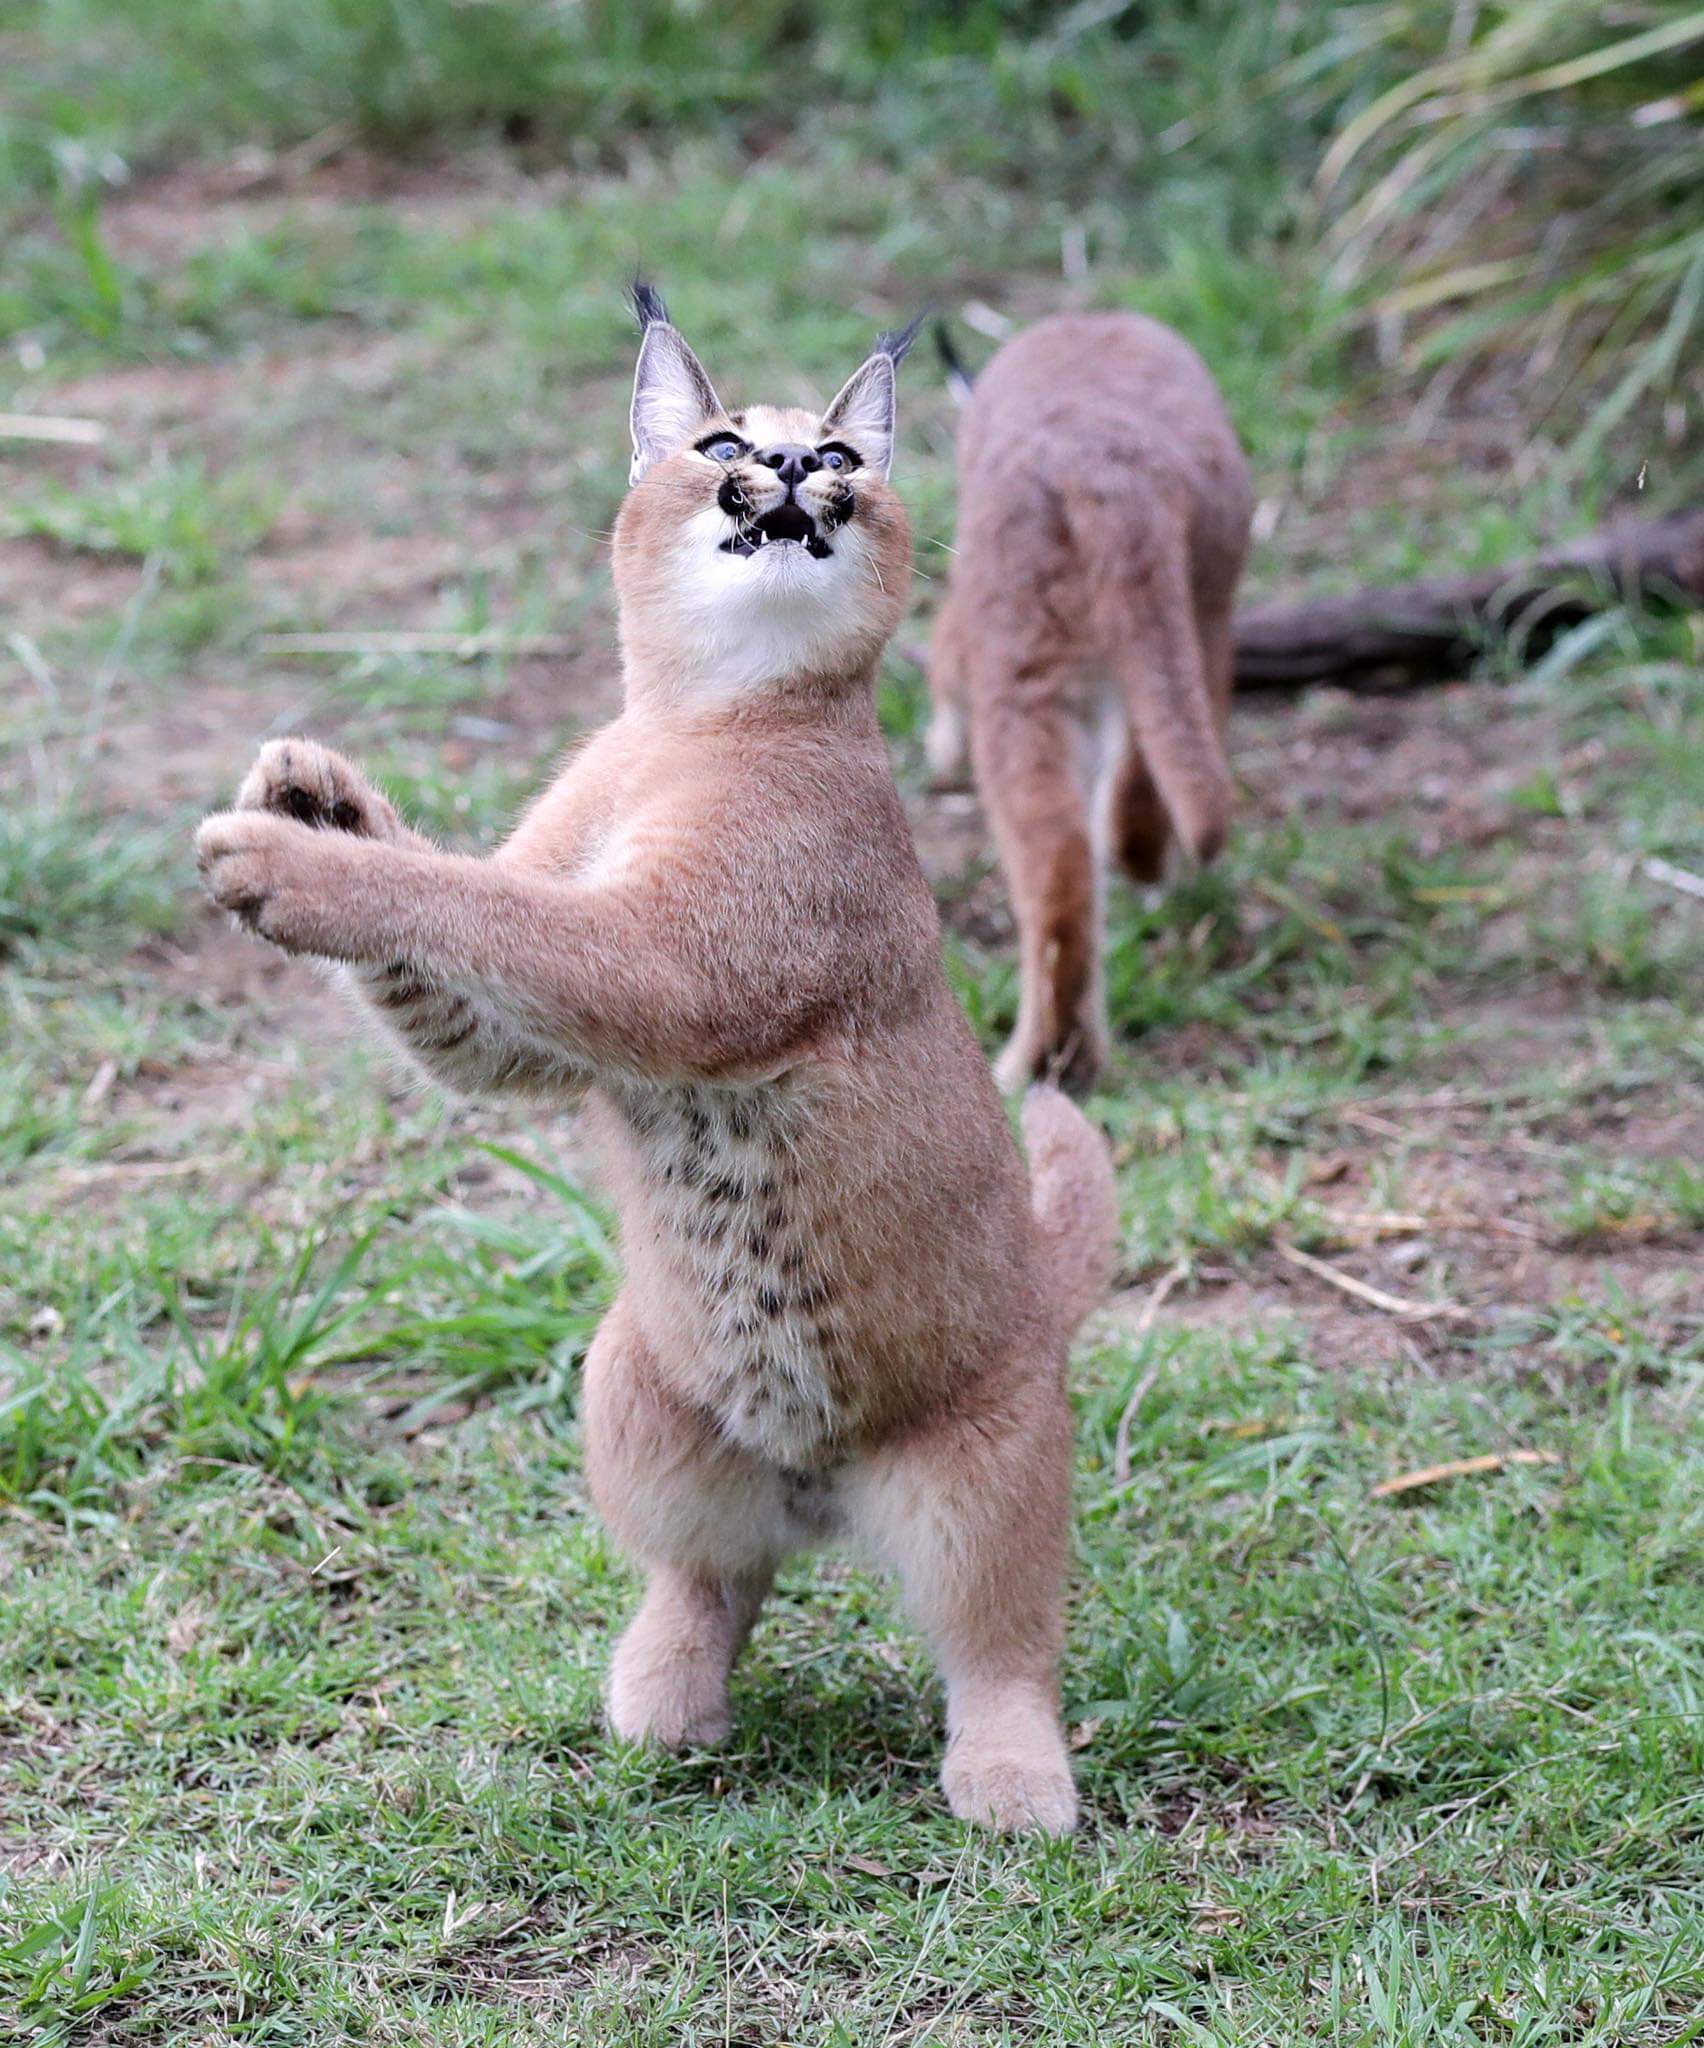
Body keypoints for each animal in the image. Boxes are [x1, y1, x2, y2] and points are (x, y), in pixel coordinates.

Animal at [199, 280, 1114, 1835]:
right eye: (725, 443)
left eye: (847, 461)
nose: (801, 471)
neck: (695, 712)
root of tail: (821, 1486)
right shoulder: (536, 1027)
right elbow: (472, 965)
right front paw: (316, 795)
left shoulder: (684, 965)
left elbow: (490, 908)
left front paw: (292, 858)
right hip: (628, 1376)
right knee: (715, 1568)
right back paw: (665, 1690)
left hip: (979, 1476)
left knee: (1001, 1636)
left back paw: (1010, 1777)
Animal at [933, 309, 1253, 1097]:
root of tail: (1098, 461)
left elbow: (939, 652)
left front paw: (940, 745)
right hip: (1181, 616)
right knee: (1097, 822)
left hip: (1027, 650)